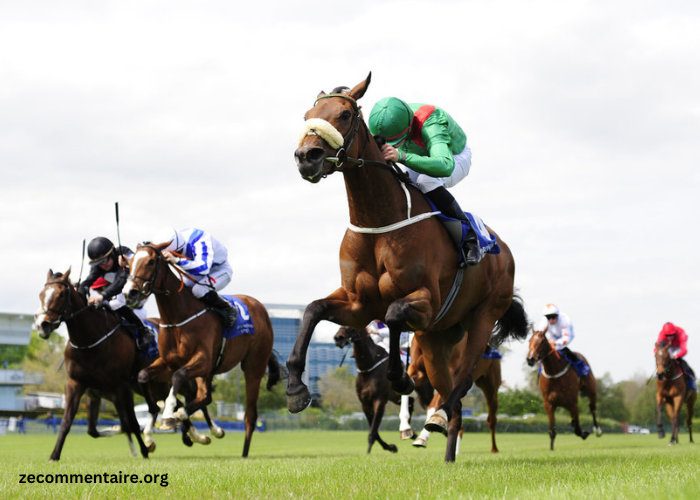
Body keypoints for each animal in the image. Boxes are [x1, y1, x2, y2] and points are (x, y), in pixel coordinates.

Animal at [124, 242, 280, 458]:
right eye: (129, 263)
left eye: (151, 261)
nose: (129, 293)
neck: (178, 318)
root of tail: (260, 307)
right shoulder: (168, 362)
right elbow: (144, 375)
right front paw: (155, 422)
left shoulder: (202, 360)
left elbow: (179, 376)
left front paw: (169, 414)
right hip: (210, 371)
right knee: (205, 396)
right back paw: (208, 429)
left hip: (253, 366)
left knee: (250, 414)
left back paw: (243, 452)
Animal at [332, 326, 432, 456]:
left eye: (352, 327)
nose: (338, 338)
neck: (368, 368)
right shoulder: (365, 404)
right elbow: (374, 430)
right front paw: (390, 447)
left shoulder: (379, 400)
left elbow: (373, 430)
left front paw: (370, 450)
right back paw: (410, 433)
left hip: (426, 396)